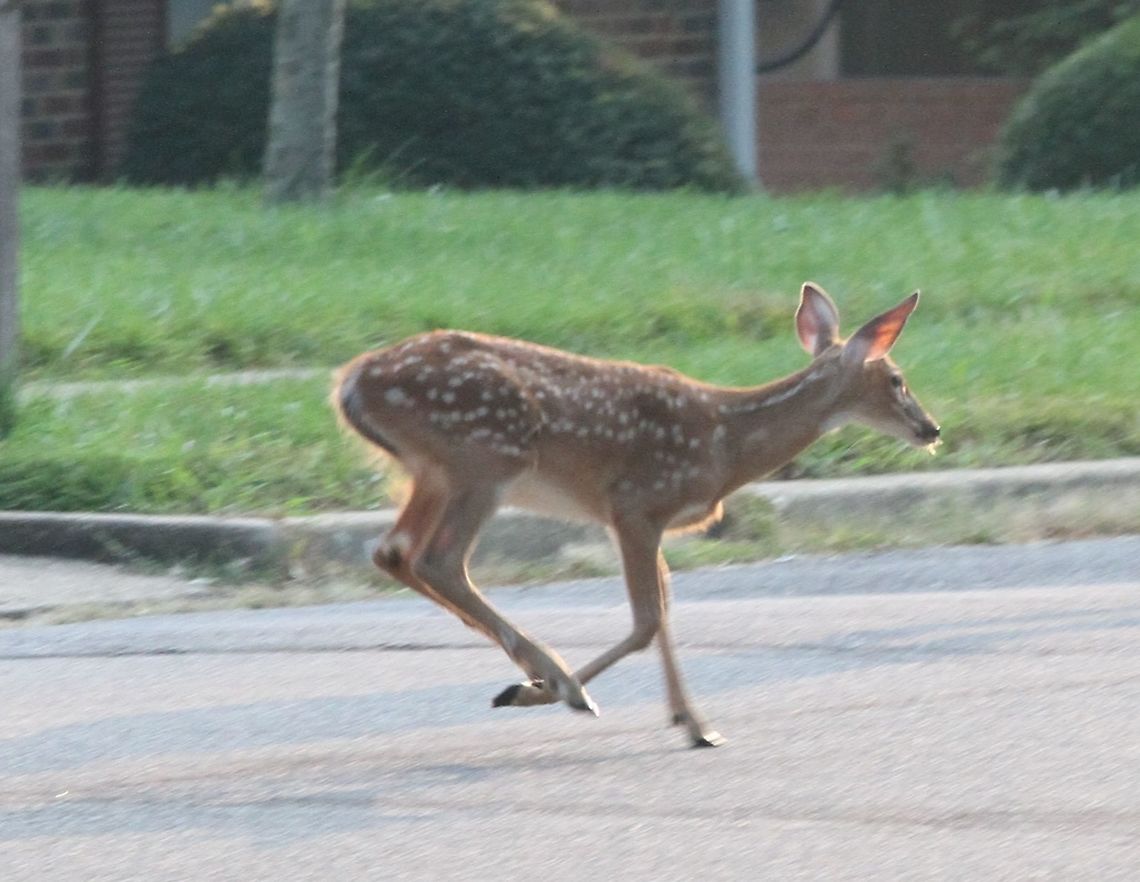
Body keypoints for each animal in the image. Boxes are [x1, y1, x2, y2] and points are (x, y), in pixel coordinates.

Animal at [333, 282, 940, 748]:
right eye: (897, 380)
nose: (931, 428)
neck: (727, 444)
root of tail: (351, 384)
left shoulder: (648, 519)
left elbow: (666, 608)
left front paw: (694, 724)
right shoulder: (634, 502)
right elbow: (648, 619)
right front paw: (551, 695)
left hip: (435, 470)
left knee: (392, 552)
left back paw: (543, 675)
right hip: (485, 457)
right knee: (439, 559)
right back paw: (559, 684)